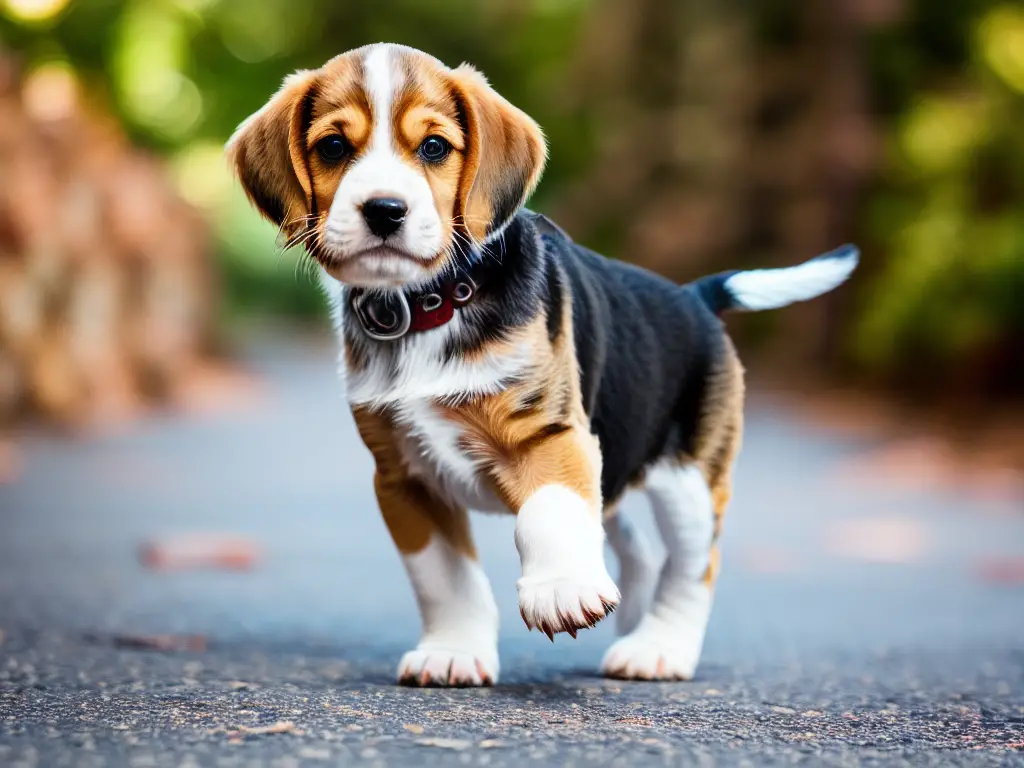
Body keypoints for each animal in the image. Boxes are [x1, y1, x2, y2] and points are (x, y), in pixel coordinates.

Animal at [228, 45, 860, 688]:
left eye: (433, 147)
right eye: (333, 146)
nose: (384, 210)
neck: (431, 304)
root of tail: (693, 297)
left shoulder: (548, 432)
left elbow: (549, 510)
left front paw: (561, 590)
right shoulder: (403, 479)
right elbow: (444, 577)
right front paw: (453, 650)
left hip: (690, 482)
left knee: (692, 566)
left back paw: (658, 647)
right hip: (618, 468)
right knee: (634, 545)